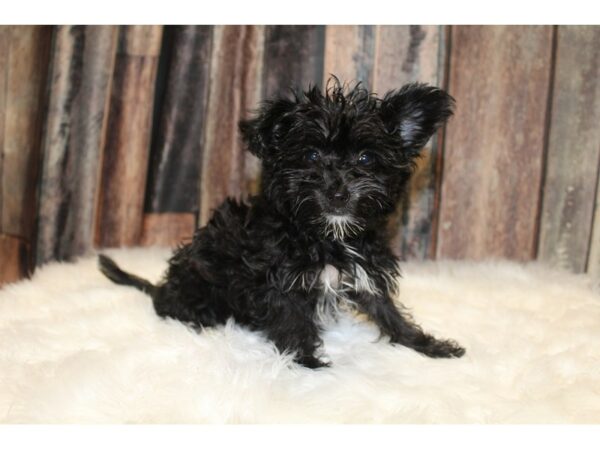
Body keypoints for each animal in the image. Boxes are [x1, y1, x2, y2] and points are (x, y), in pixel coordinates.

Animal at [98, 80, 466, 370]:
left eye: (365, 158)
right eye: (311, 156)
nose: (338, 192)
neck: (327, 235)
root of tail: (163, 288)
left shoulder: (365, 272)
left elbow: (388, 312)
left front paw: (427, 345)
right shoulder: (279, 283)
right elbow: (293, 322)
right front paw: (308, 362)